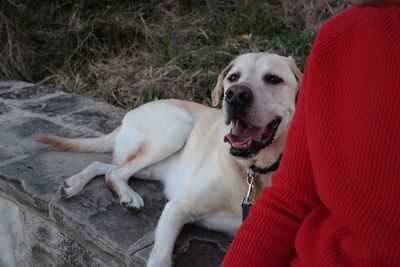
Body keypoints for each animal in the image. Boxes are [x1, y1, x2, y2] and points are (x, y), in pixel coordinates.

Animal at [33, 52, 300, 267]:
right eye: (233, 77)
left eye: (273, 79)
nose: (234, 95)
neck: (252, 171)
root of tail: (129, 114)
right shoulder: (176, 208)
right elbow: (160, 256)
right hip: (177, 128)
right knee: (115, 171)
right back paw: (119, 194)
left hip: (155, 166)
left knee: (106, 167)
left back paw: (77, 184)